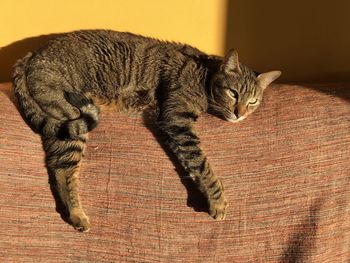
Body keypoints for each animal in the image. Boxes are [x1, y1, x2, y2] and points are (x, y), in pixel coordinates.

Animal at [12, 29, 282, 232]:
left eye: (253, 101)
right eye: (233, 93)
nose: (240, 114)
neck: (204, 75)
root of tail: (31, 54)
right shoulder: (176, 120)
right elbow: (201, 164)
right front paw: (217, 201)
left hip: (62, 126)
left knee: (57, 168)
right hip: (71, 117)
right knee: (63, 170)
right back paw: (79, 215)